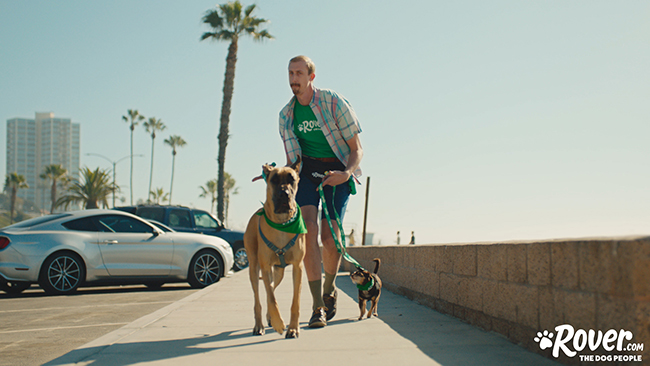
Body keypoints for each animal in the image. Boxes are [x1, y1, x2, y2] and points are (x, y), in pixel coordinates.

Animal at [242, 159, 306, 338]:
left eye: (292, 179)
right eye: (274, 180)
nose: (285, 193)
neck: (283, 223)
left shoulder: (297, 267)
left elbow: (295, 301)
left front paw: (293, 328)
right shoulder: (264, 266)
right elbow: (271, 298)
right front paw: (278, 324)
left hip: (279, 272)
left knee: (271, 287)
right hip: (254, 267)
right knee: (259, 297)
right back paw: (259, 325)